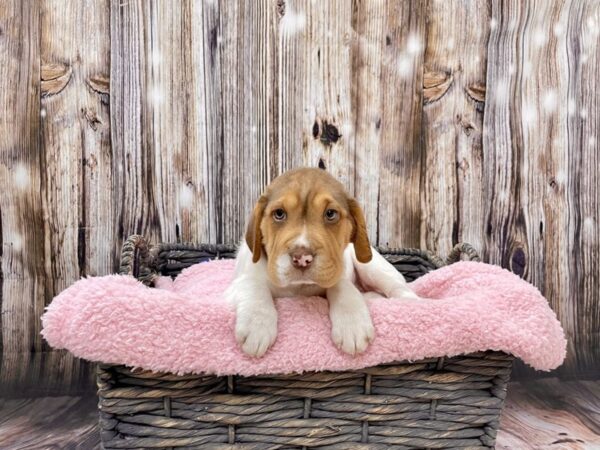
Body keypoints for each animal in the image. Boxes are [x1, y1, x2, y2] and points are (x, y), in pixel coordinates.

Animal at [225, 167, 418, 356]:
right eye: (279, 214)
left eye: (330, 214)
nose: (302, 258)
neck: (300, 286)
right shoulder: (234, 287)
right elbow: (254, 286)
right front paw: (256, 325)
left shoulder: (337, 272)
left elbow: (343, 286)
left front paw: (352, 324)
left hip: (373, 267)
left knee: (399, 287)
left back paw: (410, 303)